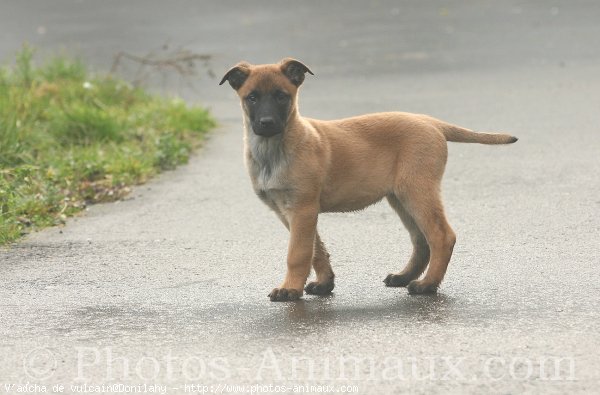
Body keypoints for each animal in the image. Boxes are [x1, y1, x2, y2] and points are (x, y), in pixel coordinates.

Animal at [219, 57, 516, 302]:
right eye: (252, 97)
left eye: (281, 96)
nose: (267, 123)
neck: (276, 149)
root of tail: (430, 122)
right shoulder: (289, 212)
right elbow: (316, 250)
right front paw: (324, 283)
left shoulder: (302, 209)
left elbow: (298, 253)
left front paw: (289, 289)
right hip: (401, 198)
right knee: (421, 240)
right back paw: (405, 276)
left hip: (417, 191)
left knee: (441, 236)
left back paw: (427, 284)